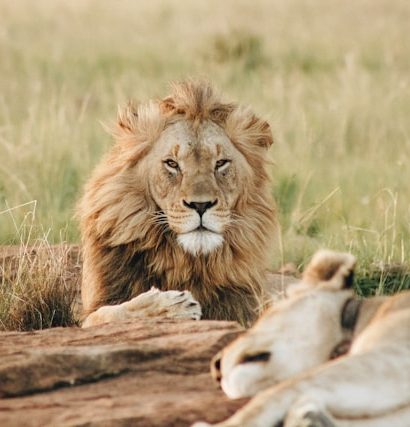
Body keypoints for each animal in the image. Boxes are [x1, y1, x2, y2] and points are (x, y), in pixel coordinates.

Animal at [78, 80, 278, 328]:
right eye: (172, 164)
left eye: (221, 163)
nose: (201, 205)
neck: (187, 262)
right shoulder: (92, 313)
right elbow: (110, 313)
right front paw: (172, 306)